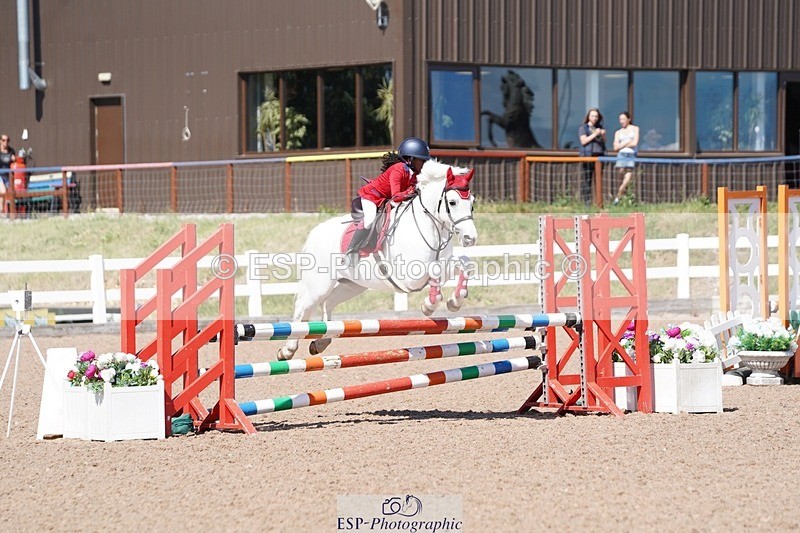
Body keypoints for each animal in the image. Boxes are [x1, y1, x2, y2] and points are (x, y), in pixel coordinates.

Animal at [277, 159, 478, 360]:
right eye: (452, 202)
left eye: (472, 204)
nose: (470, 238)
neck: (431, 227)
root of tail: (316, 232)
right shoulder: (411, 276)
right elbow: (435, 270)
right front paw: (428, 306)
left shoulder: (444, 264)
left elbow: (464, 263)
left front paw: (455, 301)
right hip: (319, 285)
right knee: (302, 309)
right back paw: (287, 351)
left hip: (352, 285)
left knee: (328, 303)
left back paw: (321, 342)